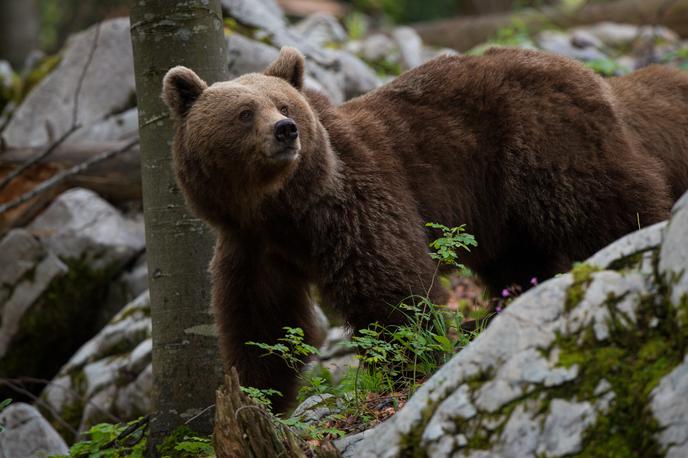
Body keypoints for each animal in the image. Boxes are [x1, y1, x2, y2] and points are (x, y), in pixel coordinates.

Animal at [164, 46, 688, 412]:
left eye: (284, 104)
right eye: (244, 112)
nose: (285, 131)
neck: (281, 208)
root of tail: (597, 78)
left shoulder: (351, 202)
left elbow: (390, 285)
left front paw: (411, 361)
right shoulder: (252, 247)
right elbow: (263, 325)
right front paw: (258, 396)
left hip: (547, 146)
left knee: (608, 207)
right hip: (505, 212)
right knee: (521, 262)